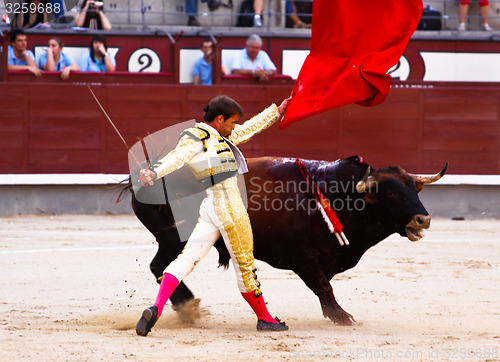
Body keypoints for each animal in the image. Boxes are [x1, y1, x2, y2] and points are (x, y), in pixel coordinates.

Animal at [127, 156, 448, 326]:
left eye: (414, 189)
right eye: (391, 193)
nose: (424, 219)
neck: (336, 197)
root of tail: (144, 178)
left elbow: (325, 284)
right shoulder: (303, 258)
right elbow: (323, 286)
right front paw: (342, 317)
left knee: (162, 267)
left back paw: (187, 308)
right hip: (173, 238)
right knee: (162, 266)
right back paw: (188, 307)